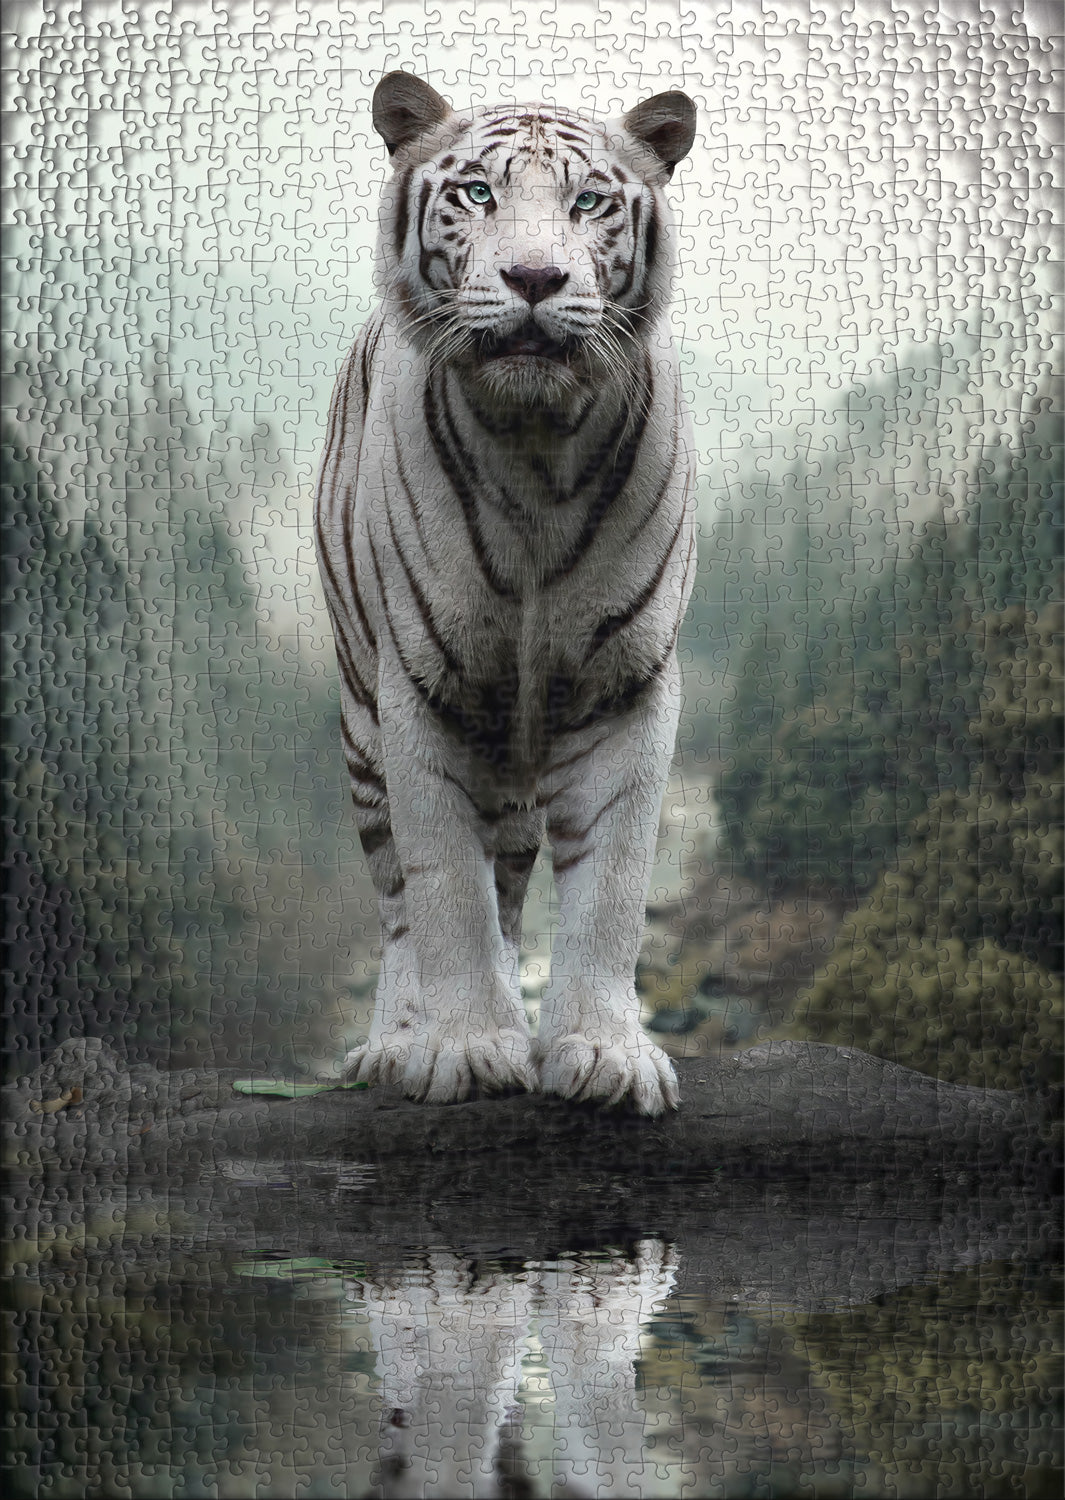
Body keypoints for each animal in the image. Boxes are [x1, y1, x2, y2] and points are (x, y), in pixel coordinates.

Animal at [314, 71, 698, 1116]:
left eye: (589, 202)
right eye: (478, 194)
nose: (533, 279)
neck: (535, 444)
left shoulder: (626, 684)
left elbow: (612, 886)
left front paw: (603, 1051)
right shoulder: (419, 688)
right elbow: (445, 888)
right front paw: (466, 1047)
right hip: (360, 729)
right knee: (399, 904)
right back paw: (393, 1044)